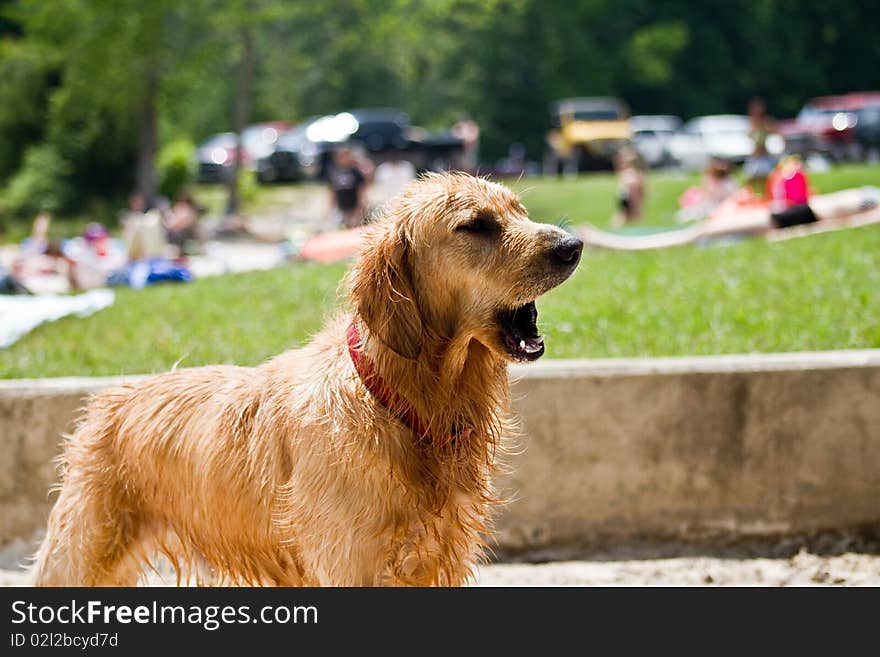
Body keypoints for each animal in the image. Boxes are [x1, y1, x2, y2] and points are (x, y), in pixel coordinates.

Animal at [34, 172, 580, 588]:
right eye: (476, 226)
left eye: (519, 210)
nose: (573, 246)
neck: (399, 399)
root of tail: (106, 401)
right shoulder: (353, 565)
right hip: (75, 558)